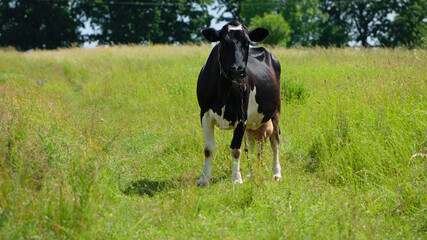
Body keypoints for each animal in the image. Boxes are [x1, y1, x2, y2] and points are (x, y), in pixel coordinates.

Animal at [196, 20, 282, 186]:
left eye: (247, 42)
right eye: (223, 42)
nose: (237, 69)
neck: (223, 89)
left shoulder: (241, 117)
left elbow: (236, 149)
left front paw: (236, 178)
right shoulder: (204, 114)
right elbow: (208, 149)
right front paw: (204, 179)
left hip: (275, 111)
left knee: (275, 141)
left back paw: (276, 173)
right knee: (252, 143)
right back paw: (250, 173)